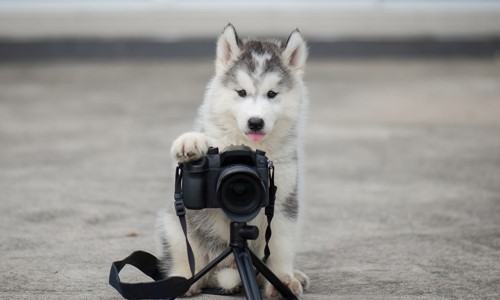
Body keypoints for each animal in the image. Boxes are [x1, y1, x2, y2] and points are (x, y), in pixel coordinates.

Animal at [158, 24, 310, 298]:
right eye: (241, 92)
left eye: (272, 94)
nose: (255, 122)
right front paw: (191, 142)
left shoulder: (284, 200)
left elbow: (279, 246)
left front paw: (282, 280)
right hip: (172, 224)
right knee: (187, 256)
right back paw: (183, 280)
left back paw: (295, 275)